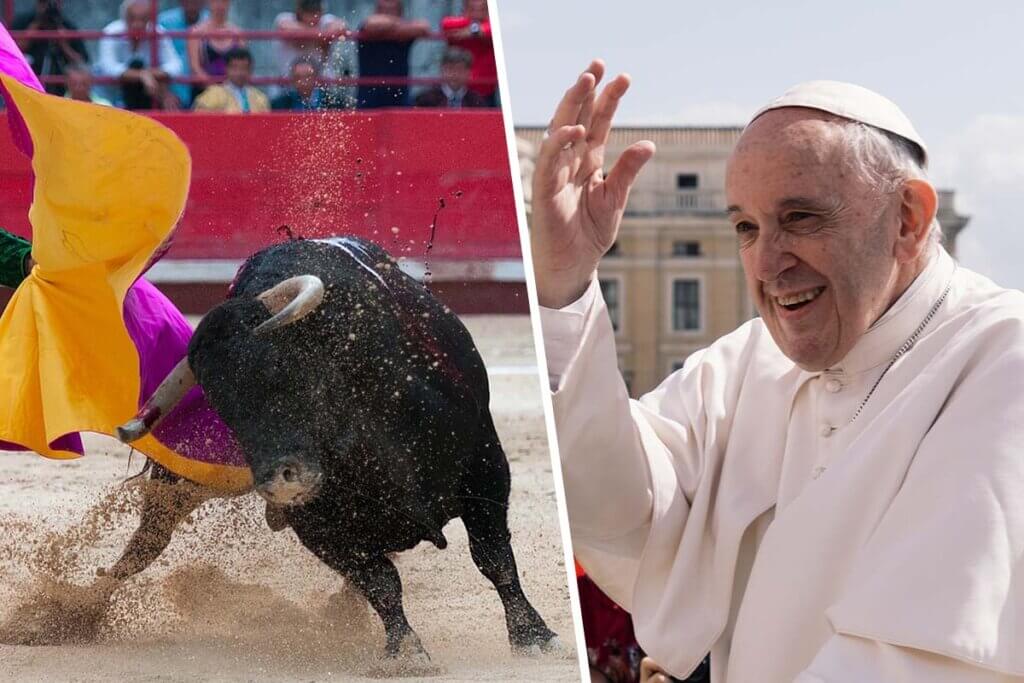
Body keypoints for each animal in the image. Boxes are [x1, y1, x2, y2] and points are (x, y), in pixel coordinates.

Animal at [113, 237, 561, 659]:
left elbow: (493, 556)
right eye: (222, 407)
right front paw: (405, 651)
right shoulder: (317, 526)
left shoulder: (484, 465)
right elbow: (380, 582)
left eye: (283, 370)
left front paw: (533, 636)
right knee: (147, 542)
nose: (279, 483)